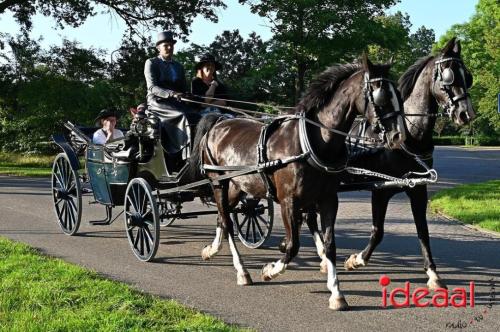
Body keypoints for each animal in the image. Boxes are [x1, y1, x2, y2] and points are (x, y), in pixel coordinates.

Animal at [191, 55, 406, 312]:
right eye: (381, 96)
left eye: (398, 94)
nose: (399, 136)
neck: (312, 141)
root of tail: (219, 122)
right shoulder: (288, 201)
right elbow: (293, 245)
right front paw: (270, 270)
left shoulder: (328, 199)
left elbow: (330, 244)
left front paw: (336, 293)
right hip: (218, 184)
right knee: (228, 222)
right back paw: (242, 271)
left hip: (235, 186)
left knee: (222, 217)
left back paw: (211, 250)